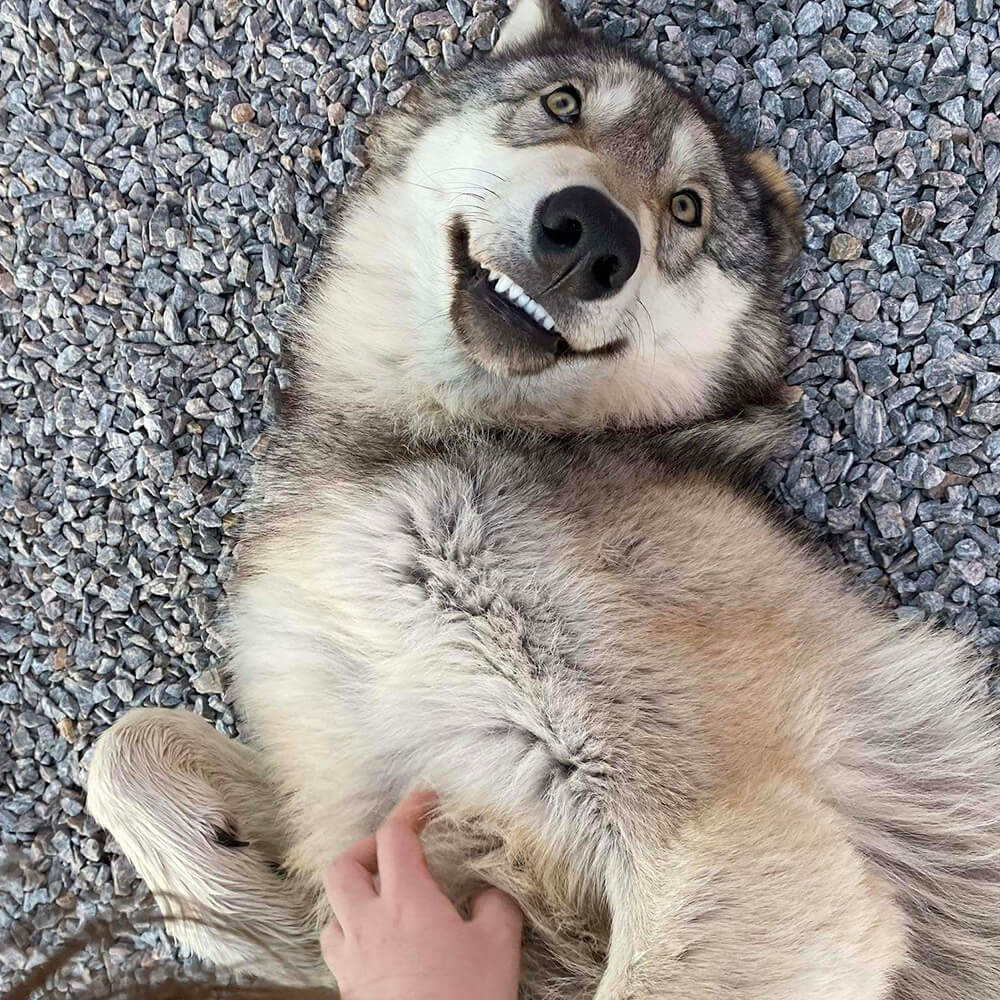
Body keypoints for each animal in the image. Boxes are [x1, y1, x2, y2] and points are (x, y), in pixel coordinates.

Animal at [88, 2, 1000, 997]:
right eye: (563, 103)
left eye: (687, 207)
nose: (596, 233)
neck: (436, 442)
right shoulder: (363, 811)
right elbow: (120, 751)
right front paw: (238, 870)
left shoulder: (750, 857)